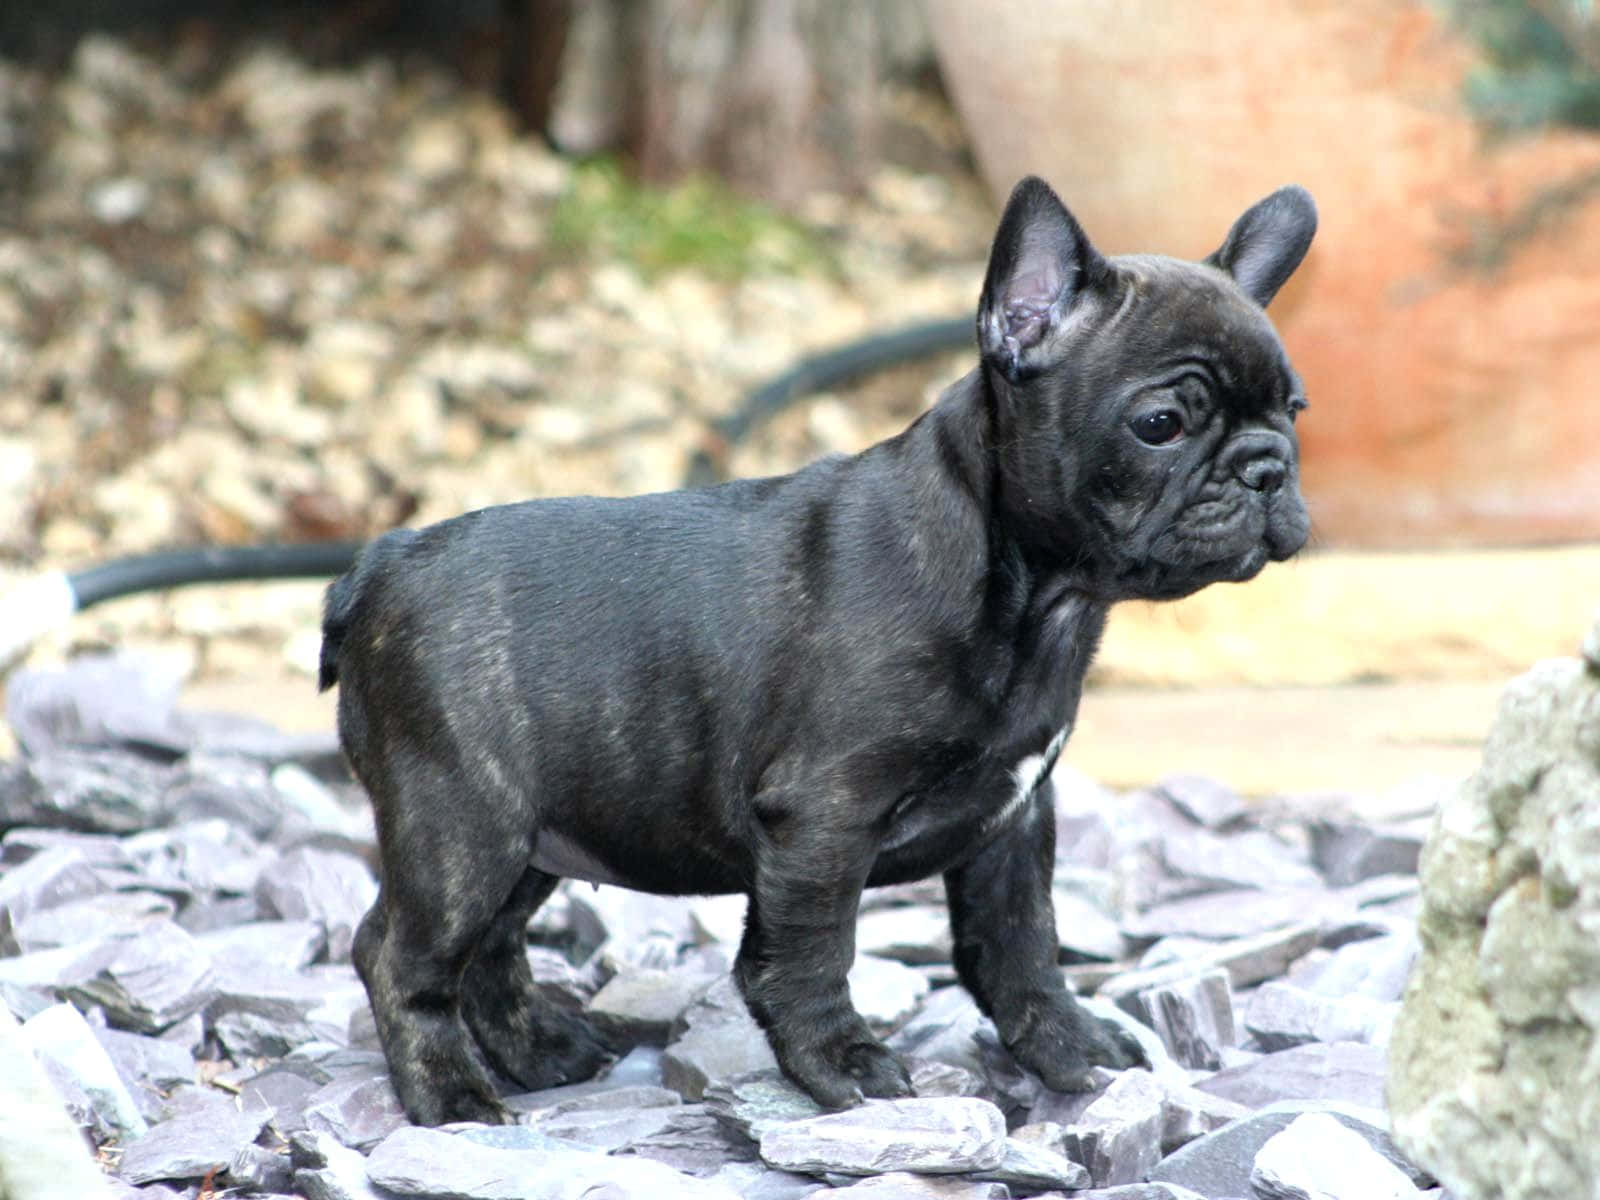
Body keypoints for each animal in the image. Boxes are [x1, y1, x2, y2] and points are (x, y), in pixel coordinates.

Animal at [321, 176, 1312, 1126]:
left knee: (492, 945)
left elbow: (1021, 945)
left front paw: (1069, 1047)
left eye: (1295, 410)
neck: (1037, 593)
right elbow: (808, 953)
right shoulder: (825, 817)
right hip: (465, 825)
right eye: (1161, 424)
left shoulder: (1016, 819)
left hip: (537, 833)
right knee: (402, 954)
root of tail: (378, 562)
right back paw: (448, 1095)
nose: (1268, 466)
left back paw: (540, 1051)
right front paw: (843, 1064)